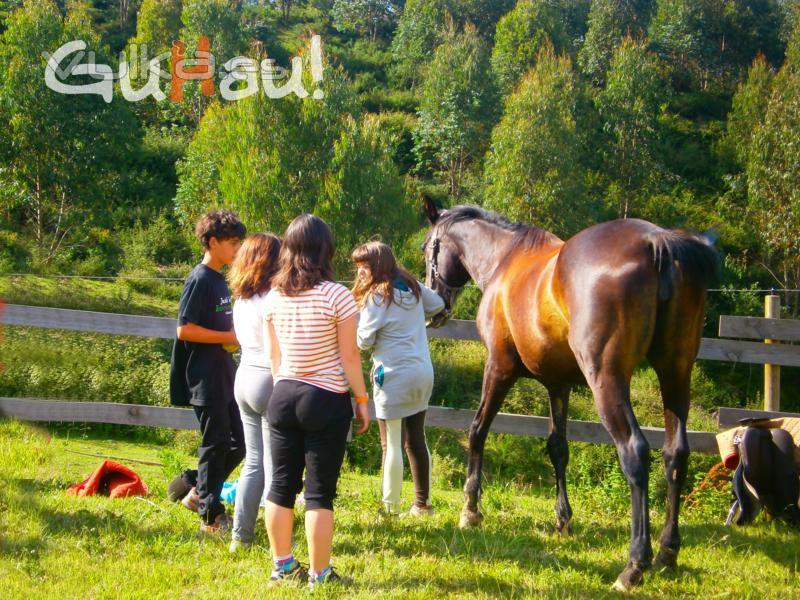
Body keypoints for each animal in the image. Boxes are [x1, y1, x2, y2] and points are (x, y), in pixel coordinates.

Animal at [422, 198, 716, 592]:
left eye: (428, 249)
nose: (436, 310)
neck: (504, 260)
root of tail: (657, 241)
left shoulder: (498, 368)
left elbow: (477, 431)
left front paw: (471, 509)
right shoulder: (557, 384)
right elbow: (558, 448)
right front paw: (563, 519)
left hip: (607, 380)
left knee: (635, 452)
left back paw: (634, 564)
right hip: (675, 373)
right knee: (676, 454)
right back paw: (667, 552)